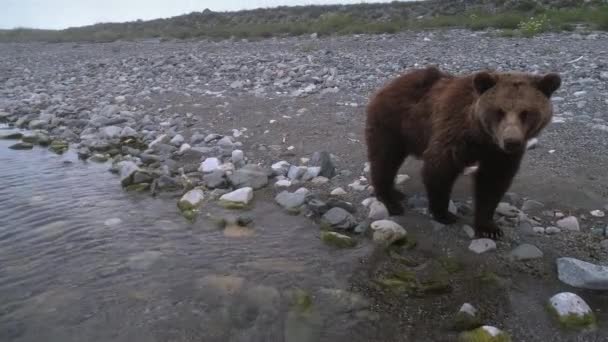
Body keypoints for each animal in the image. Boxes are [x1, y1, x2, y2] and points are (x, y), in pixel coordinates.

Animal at [366, 66, 560, 238]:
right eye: (499, 111)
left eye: (526, 112)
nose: (511, 141)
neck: (482, 136)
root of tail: (388, 85)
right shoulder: (454, 133)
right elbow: (439, 168)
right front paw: (444, 213)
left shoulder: (498, 154)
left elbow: (493, 181)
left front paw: (489, 227)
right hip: (393, 124)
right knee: (385, 159)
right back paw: (390, 200)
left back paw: (395, 192)